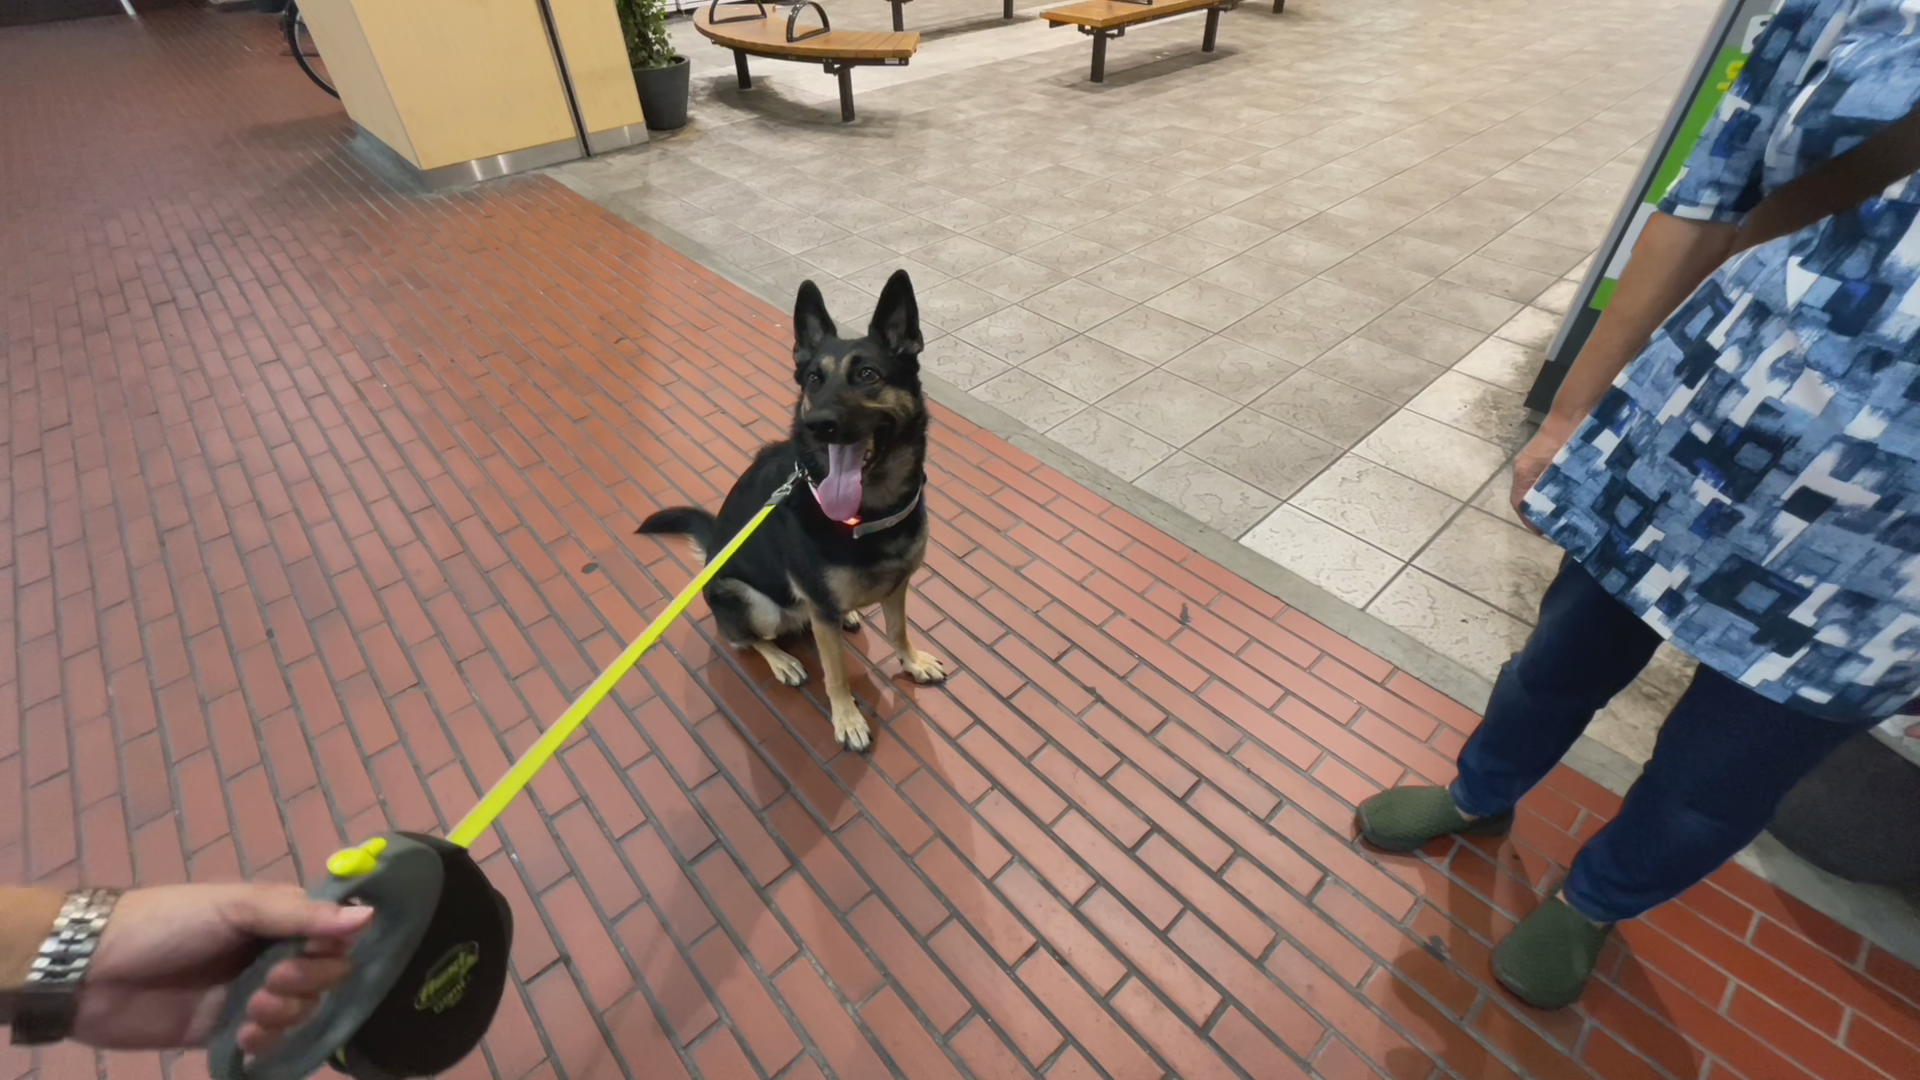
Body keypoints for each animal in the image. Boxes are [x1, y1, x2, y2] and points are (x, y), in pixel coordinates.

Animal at [635, 269, 948, 751]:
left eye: (868, 374)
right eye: (813, 379)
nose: (817, 424)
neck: (869, 516)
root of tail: (711, 558)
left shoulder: (898, 588)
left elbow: (898, 630)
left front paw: (911, 661)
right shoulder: (822, 615)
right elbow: (836, 674)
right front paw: (847, 719)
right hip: (753, 602)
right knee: (745, 639)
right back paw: (781, 659)